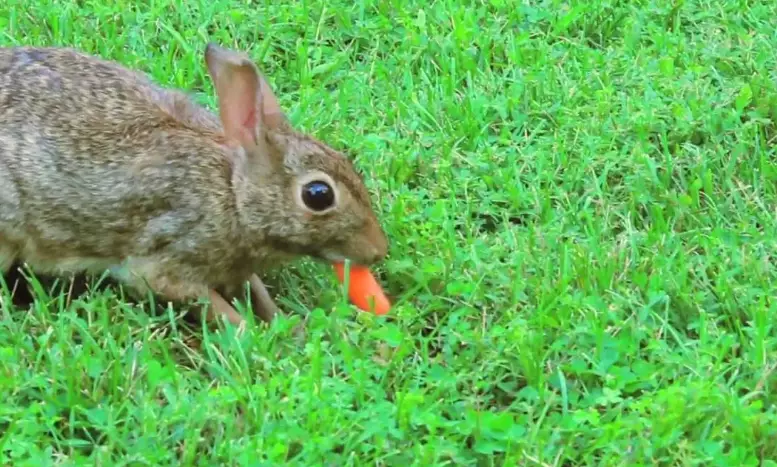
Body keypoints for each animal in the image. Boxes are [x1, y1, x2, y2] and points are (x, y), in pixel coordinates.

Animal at [0, 42, 389, 327]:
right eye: (318, 195)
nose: (378, 250)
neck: (233, 193)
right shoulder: (166, 260)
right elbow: (210, 305)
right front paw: (256, 336)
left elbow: (257, 291)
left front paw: (287, 326)